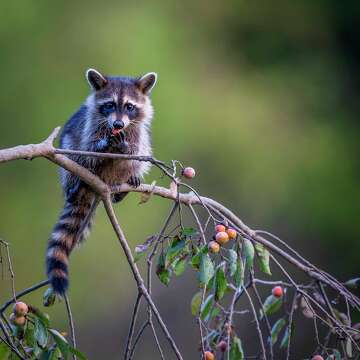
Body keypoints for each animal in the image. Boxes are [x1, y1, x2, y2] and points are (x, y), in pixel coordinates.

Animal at [45, 68, 157, 296]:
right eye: (110, 105)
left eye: (130, 106)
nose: (118, 124)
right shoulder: (89, 127)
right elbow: (88, 149)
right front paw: (102, 146)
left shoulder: (136, 132)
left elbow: (136, 150)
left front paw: (125, 148)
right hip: (69, 151)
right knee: (71, 149)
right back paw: (76, 186)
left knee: (138, 158)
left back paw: (124, 185)